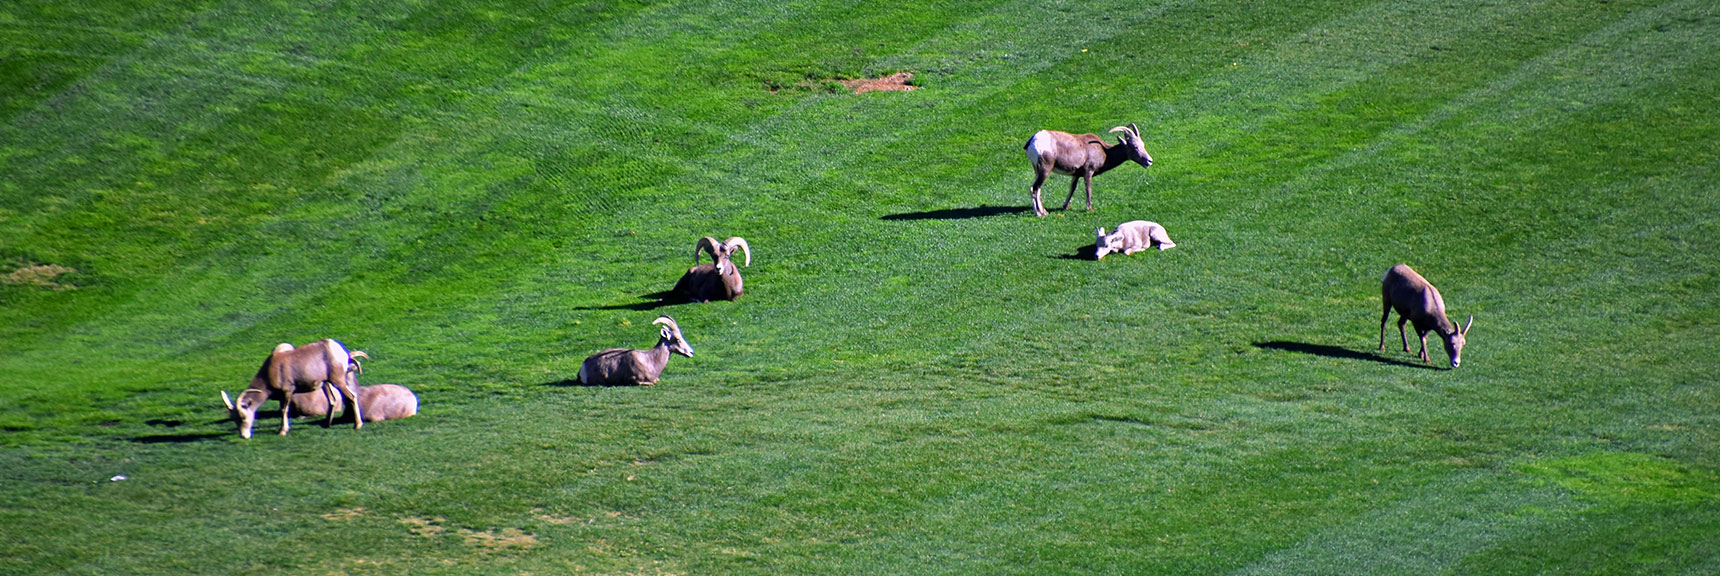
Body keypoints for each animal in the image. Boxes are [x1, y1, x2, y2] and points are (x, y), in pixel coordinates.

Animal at [219, 339, 367, 438]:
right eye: (234, 419)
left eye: (243, 417)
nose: (244, 436)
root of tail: (341, 351)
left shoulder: (288, 391)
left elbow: (284, 410)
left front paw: (282, 431)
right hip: (327, 383)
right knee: (333, 401)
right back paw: (326, 424)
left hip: (338, 381)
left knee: (352, 397)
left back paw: (357, 425)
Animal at [1024, 123, 1154, 217]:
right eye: (1135, 147)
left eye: (1143, 145)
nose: (1149, 161)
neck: (1104, 152)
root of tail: (1032, 140)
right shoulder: (1088, 172)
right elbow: (1088, 189)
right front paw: (1090, 208)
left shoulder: (1076, 175)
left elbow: (1072, 188)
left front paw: (1066, 206)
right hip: (1045, 170)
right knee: (1034, 188)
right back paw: (1040, 214)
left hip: (1038, 171)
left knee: (1037, 189)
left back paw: (1044, 211)